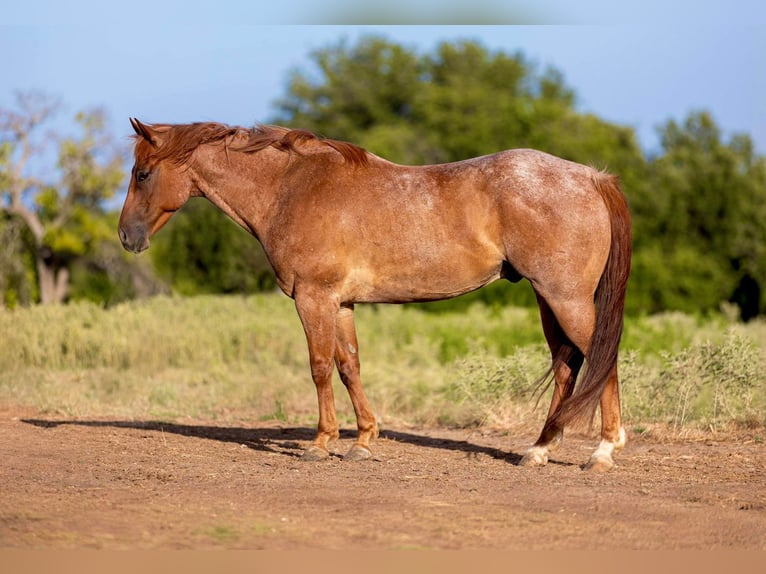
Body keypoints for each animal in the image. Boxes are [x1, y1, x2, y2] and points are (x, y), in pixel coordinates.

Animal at [120, 120, 632, 472]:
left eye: (142, 173)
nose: (126, 235)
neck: (292, 187)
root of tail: (592, 177)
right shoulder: (341, 304)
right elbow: (350, 366)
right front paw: (363, 441)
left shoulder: (313, 299)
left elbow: (320, 368)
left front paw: (321, 443)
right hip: (549, 300)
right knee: (567, 366)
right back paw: (540, 449)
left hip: (566, 299)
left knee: (601, 359)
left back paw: (603, 452)